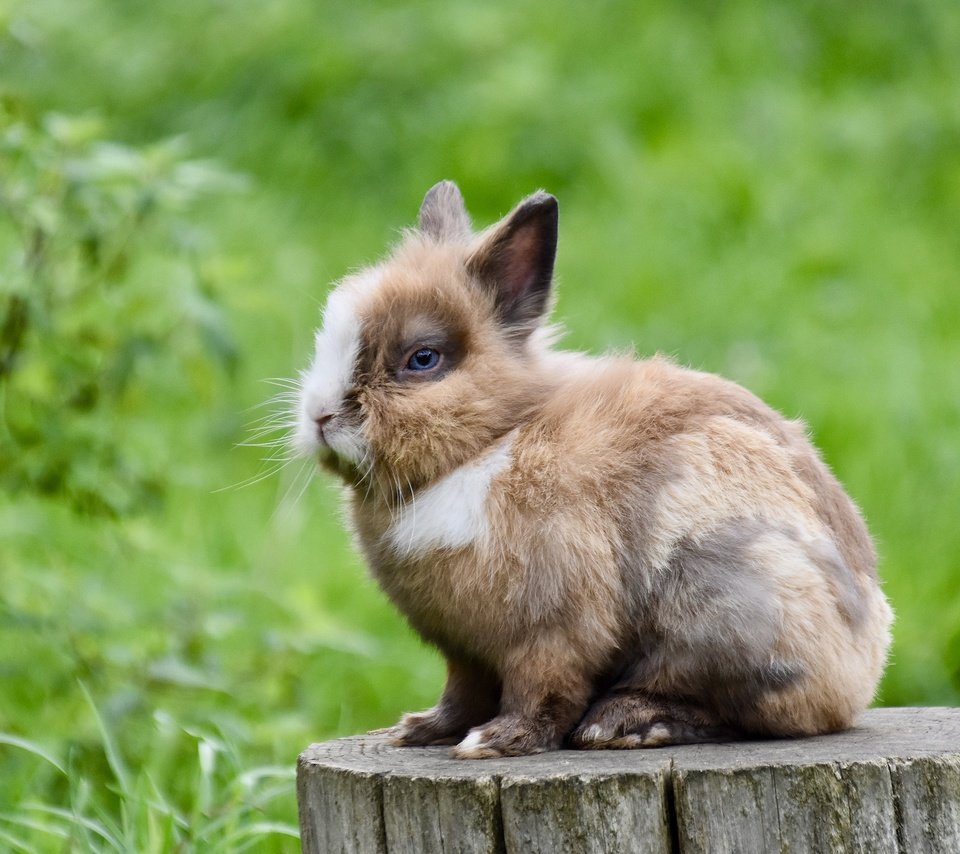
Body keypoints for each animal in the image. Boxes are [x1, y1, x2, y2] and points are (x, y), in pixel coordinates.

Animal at [290, 182, 892, 764]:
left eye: (422, 359)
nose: (321, 416)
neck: (493, 442)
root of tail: (865, 666)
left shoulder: (551, 629)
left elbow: (541, 691)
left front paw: (493, 744)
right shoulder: (465, 652)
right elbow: (462, 695)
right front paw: (420, 731)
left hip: (726, 602)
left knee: (739, 712)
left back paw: (623, 724)